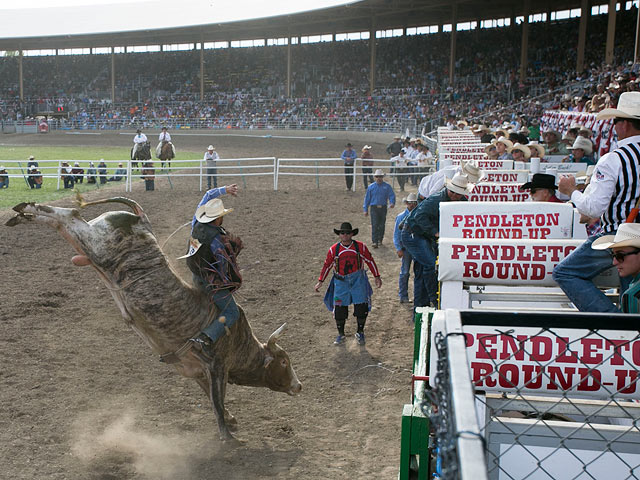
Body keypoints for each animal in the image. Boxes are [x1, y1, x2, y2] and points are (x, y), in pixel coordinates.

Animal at [5, 196, 302, 442]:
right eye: (284, 362)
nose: (299, 386)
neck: (240, 342)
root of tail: (141, 219)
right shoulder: (218, 366)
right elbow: (217, 401)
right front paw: (229, 437)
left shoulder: (197, 371)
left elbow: (212, 398)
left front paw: (230, 420)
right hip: (96, 244)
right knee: (67, 216)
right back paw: (26, 208)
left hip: (92, 249)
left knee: (64, 223)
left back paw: (19, 215)